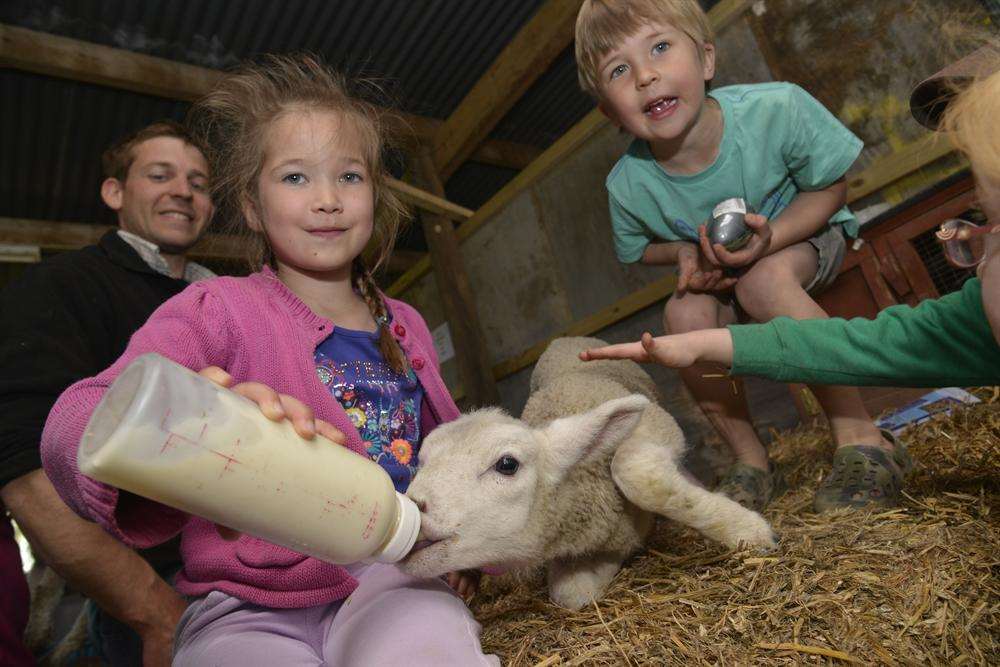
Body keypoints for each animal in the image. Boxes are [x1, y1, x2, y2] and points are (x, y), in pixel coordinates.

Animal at [402, 340, 776, 612]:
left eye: (507, 464)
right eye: (422, 462)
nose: (414, 506)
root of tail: (563, 339)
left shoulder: (658, 428)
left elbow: (636, 472)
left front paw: (747, 530)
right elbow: (571, 594)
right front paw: (605, 570)